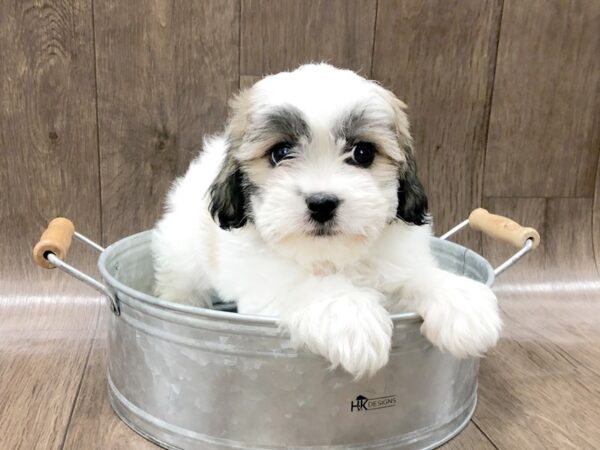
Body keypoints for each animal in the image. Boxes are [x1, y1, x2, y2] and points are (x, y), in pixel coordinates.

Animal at [152, 63, 500, 380]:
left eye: (362, 153)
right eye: (281, 152)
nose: (322, 203)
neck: (333, 255)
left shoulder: (398, 260)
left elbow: (417, 276)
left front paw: (461, 301)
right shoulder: (265, 279)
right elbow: (306, 284)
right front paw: (352, 316)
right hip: (182, 260)